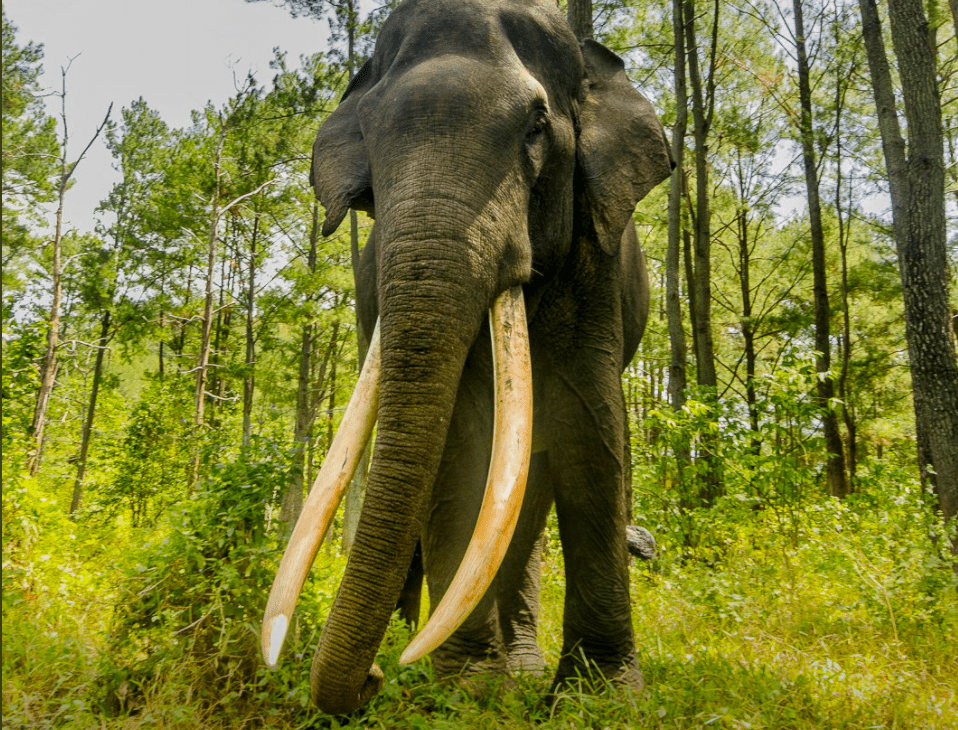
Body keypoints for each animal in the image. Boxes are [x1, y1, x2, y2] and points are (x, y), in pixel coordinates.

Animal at [258, 0, 672, 712]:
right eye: (368, 132)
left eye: (537, 125)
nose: (372, 678)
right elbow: (460, 437)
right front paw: (469, 689)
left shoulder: (596, 260)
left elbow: (591, 427)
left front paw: (601, 697)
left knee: (530, 494)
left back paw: (521, 666)